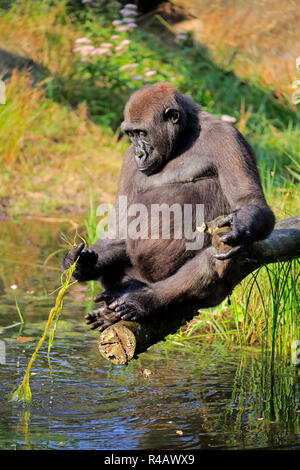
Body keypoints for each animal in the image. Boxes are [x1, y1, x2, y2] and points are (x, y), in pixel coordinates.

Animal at [61, 81, 274, 330]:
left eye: (142, 133)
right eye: (131, 134)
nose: (139, 153)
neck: (183, 137)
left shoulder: (227, 136)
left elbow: (249, 201)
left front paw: (240, 227)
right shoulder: (127, 160)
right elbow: (119, 230)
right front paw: (78, 265)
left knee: (215, 255)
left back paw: (146, 300)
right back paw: (117, 299)